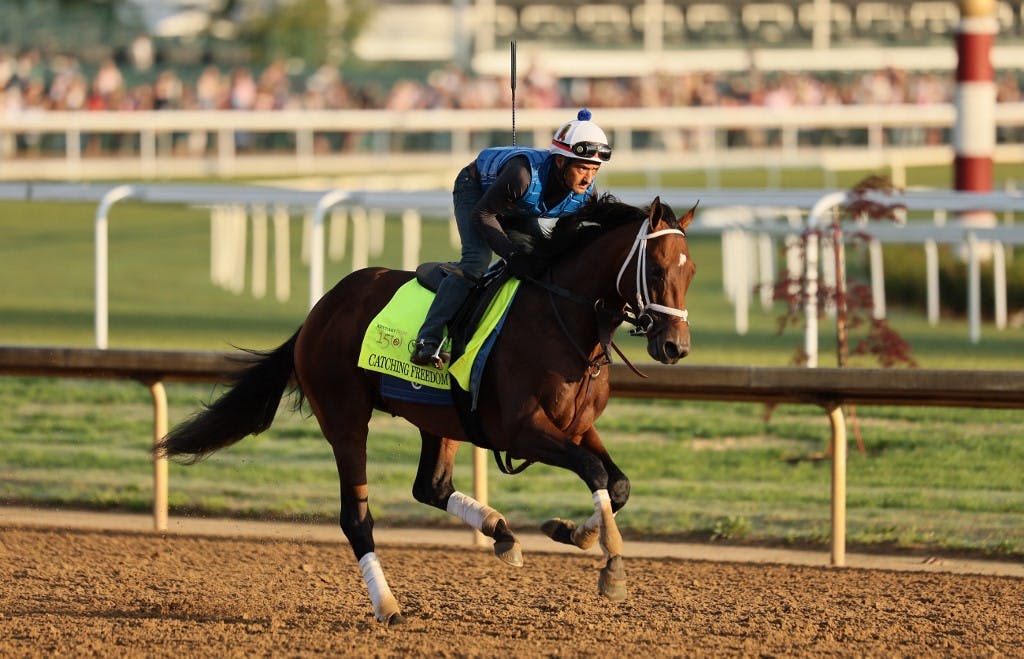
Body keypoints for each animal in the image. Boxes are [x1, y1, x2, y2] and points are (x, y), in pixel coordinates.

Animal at [155, 193, 700, 626]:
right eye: (655, 269)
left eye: (691, 271)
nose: (676, 347)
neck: (563, 321)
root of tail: (321, 309)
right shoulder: (523, 429)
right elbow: (595, 472)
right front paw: (611, 567)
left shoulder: (578, 426)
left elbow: (616, 481)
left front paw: (574, 532)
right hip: (345, 419)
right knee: (357, 518)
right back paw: (388, 606)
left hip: (442, 419)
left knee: (431, 486)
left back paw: (500, 532)